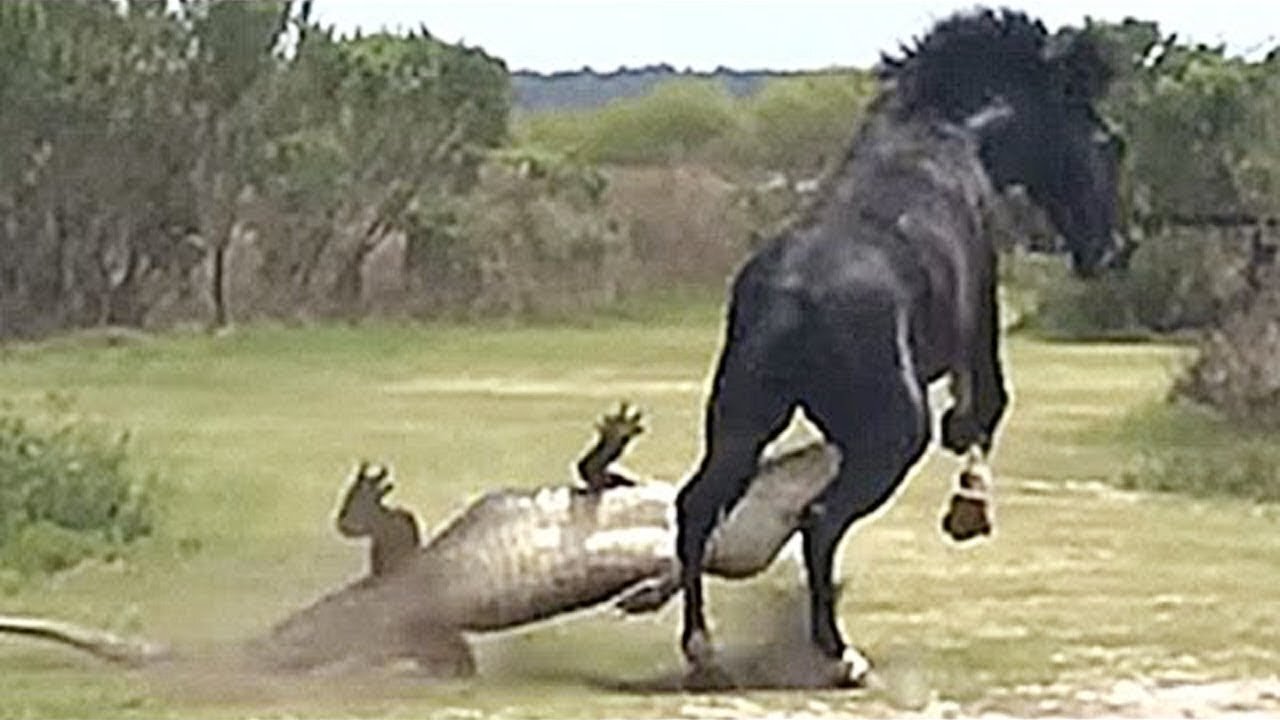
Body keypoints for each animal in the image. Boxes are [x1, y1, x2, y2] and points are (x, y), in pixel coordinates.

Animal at [675, 8, 1126, 676]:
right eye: (1108, 144)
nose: (1113, 249)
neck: (950, 135)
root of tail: (790, 297)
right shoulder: (979, 313)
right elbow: (988, 402)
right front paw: (969, 503)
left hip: (741, 421)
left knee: (697, 506)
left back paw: (702, 648)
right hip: (891, 437)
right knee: (820, 520)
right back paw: (839, 655)